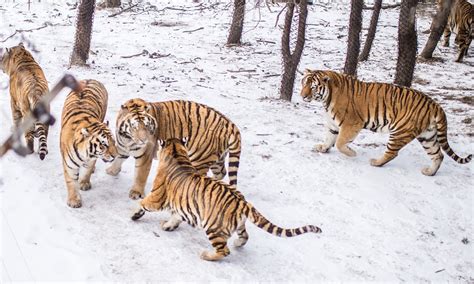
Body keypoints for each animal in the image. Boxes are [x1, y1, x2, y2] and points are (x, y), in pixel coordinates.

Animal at [60, 80, 117, 209]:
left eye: (114, 142)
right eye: (104, 145)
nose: (115, 156)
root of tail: (91, 79)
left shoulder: (91, 160)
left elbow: (87, 171)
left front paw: (84, 184)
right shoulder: (69, 165)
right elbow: (71, 182)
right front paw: (74, 201)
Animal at [106, 98, 241, 201]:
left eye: (146, 126)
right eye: (134, 126)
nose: (144, 140)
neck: (127, 138)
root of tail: (230, 125)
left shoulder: (145, 155)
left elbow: (140, 174)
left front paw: (136, 193)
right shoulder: (123, 147)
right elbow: (119, 158)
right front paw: (112, 171)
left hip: (200, 159)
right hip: (216, 158)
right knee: (222, 172)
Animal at [131, 138, 320, 262]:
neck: (177, 153)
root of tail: (243, 202)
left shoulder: (156, 197)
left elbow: (143, 203)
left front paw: (133, 215)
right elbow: (176, 215)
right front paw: (168, 225)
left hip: (214, 227)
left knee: (224, 251)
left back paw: (206, 255)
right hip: (239, 224)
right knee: (244, 236)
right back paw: (238, 243)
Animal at [302, 69, 472, 175]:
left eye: (313, 87)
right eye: (303, 83)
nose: (302, 96)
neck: (326, 99)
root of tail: (436, 105)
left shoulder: (352, 123)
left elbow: (340, 143)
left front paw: (352, 153)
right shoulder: (332, 124)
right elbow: (330, 138)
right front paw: (322, 148)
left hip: (400, 132)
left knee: (392, 153)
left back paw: (376, 162)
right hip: (427, 136)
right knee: (438, 155)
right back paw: (429, 172)